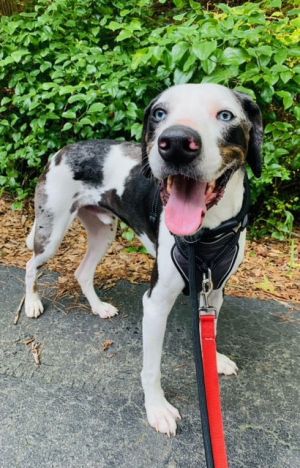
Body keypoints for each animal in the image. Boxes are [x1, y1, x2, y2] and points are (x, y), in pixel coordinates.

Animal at [24, 83, 262, 436]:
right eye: (160, 113)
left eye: (225, 115)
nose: (176, 143)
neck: (207, 232)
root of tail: (64, 150)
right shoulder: (155, 303)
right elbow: (151, 369)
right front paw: (157, 409)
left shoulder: (214, 288)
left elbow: (210, 329)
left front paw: (214, 359)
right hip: (51, 232)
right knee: (31, 265)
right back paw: (31, 303)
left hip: (102, 233)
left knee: (82, 272)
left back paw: (98, 307)